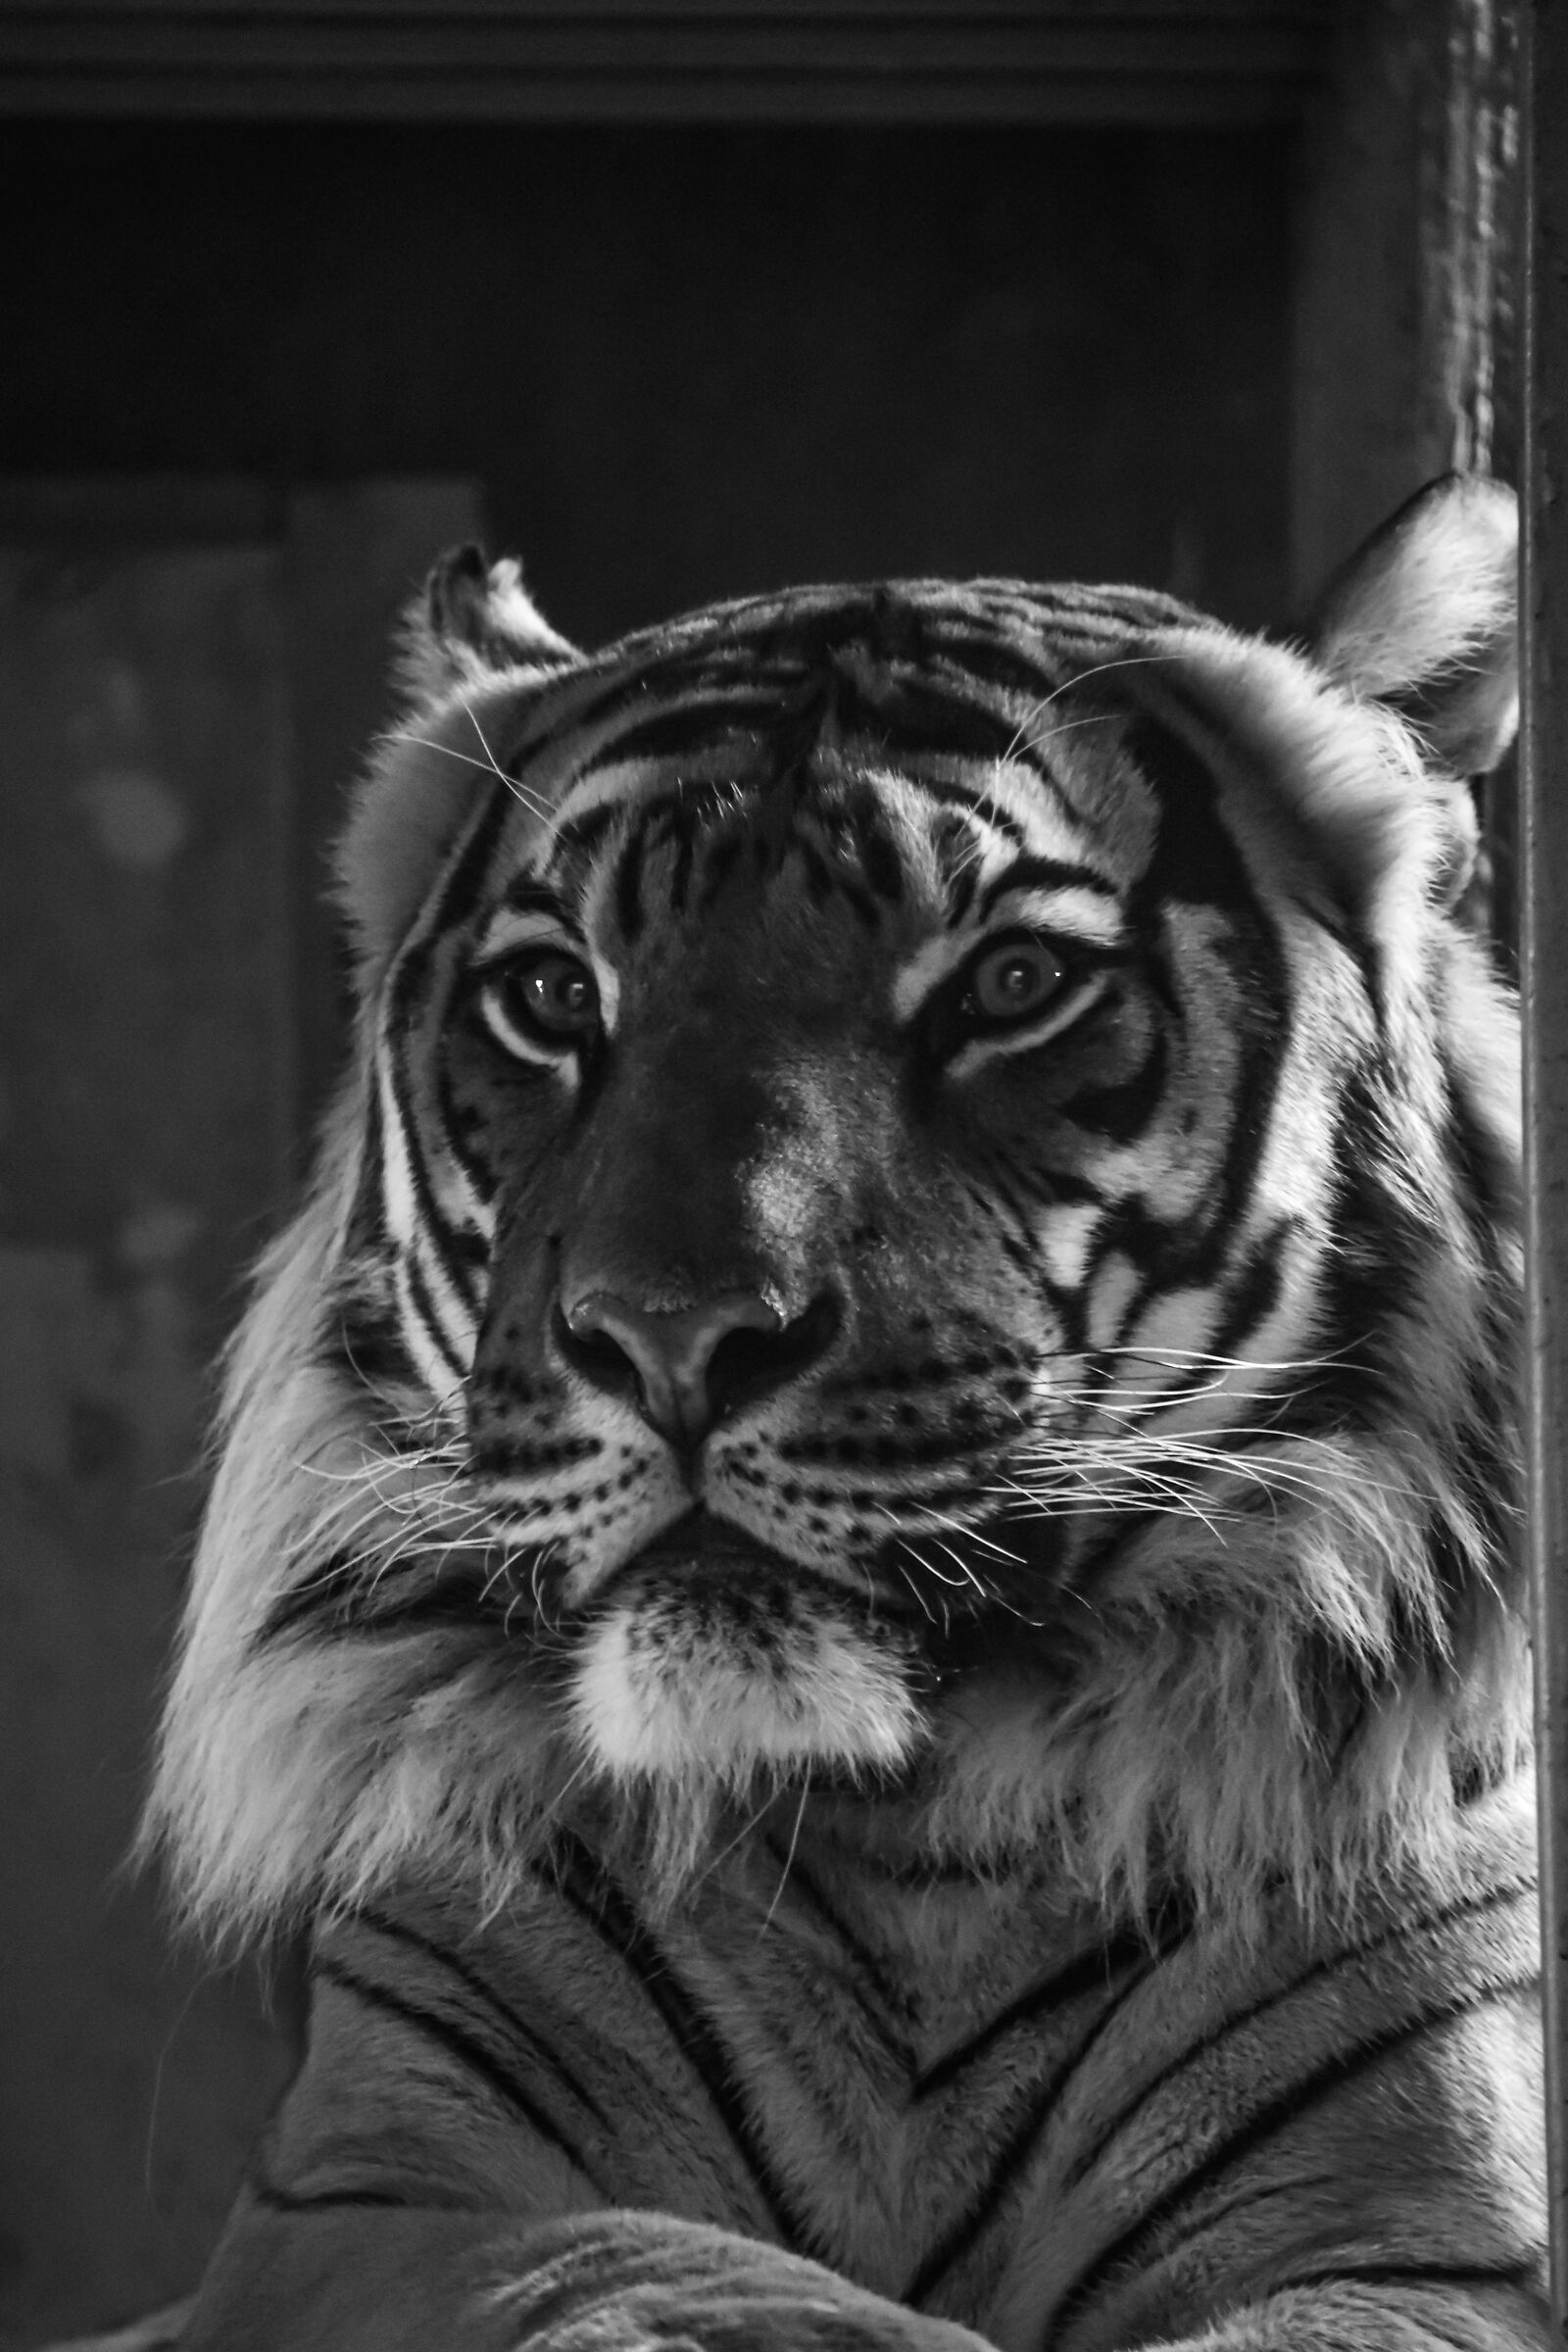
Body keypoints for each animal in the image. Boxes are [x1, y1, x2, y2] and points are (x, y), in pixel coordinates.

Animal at [142, 471, 1541, 2352]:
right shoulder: (369, 2195)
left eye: (1013, 986)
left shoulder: (1430, 2237)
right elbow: (667, 2264)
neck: (912, 1842)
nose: (669, 1340)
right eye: (554, 996)